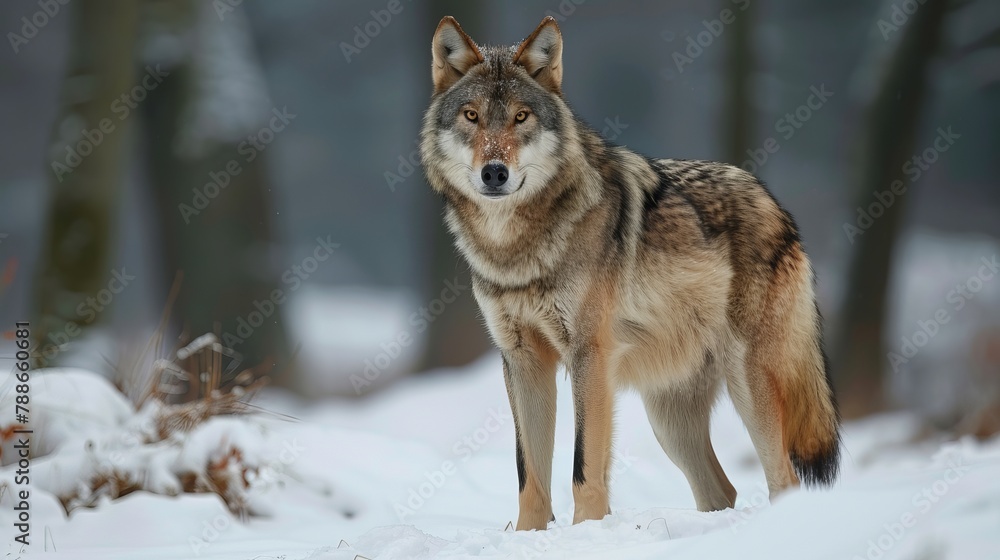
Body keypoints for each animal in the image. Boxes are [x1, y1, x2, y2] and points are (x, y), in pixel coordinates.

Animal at [419, 16, 840, 531]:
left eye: (521, 117)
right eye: (472, 116)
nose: (494, 173)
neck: (517, 249)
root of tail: (778, 205)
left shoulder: (590, 355)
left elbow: (583, 467)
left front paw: (586, 532)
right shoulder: (522, 361)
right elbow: (529, 476)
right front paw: (529, 535)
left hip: (750, 388)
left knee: (785, 480)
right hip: (669, 420)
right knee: (723, 489)